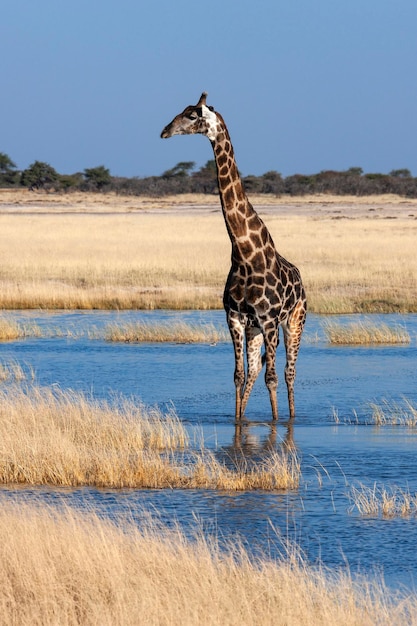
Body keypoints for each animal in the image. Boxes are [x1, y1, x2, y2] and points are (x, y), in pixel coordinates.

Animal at [160, 91, 306, 420]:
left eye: (192, 115)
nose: (164, 131)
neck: (243, 253)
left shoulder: (269, 319)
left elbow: (272, 378)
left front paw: (276, 423)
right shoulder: (236, 318)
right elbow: (239, 376)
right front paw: (238, 422)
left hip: (294, 321)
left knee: (288, 373)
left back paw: (292, 416)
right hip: (255, 330)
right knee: (253, 372)